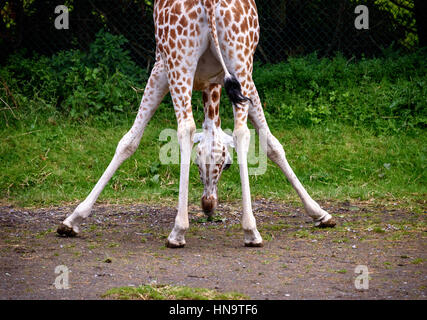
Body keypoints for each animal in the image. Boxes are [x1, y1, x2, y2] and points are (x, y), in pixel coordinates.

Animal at [57, 0, 338, 249]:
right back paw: (251, 230)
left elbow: (129, 141)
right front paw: (320, 213)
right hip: (241, 57)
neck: (210, 87)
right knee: (241, 132)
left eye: (225, 165)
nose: (208, 206)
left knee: (186, 127)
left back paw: (178, 231)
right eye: (199, 163)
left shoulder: (160, 64)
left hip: (178, 57)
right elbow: (271, 143)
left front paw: (72, 220)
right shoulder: (235, 79)